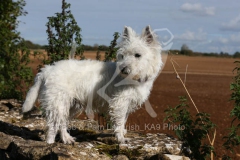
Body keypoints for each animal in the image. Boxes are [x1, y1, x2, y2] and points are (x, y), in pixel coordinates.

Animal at [22, 25, 163, 144]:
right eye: (122, 56)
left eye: (137, 55)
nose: (123, 69)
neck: (134, 80)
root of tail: (47, 70)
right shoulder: (119, 103)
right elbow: (119, 121)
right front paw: (121, 138)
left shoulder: (127, 104)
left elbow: (124, 120)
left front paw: (123, 133)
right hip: (57, 103)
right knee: (52, 125)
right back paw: (50, 143)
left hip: (72, 105)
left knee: (62, 122)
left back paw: (67, 139)